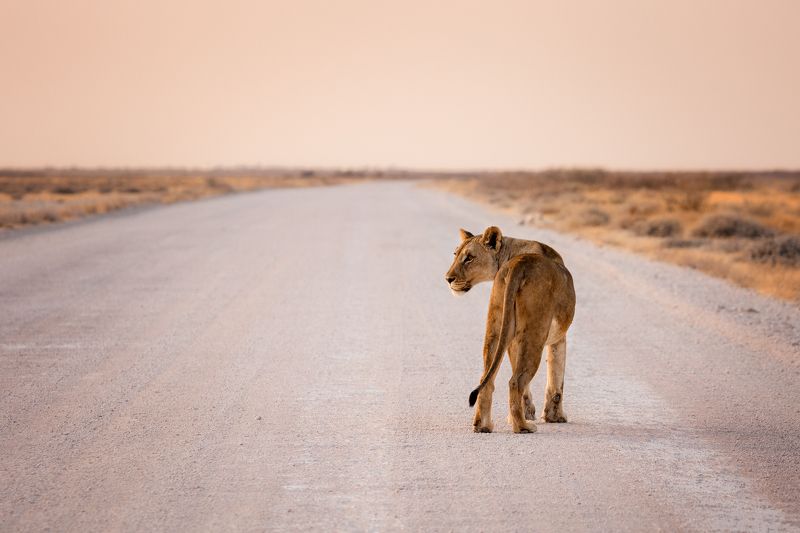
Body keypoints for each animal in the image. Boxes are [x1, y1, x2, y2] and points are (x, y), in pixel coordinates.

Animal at [445, 226, 576, 433]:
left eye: (469, 258)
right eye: (456, 255)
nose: (448, 279)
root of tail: (518, 265)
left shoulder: (511, 336)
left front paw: (527, 412)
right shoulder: (558, 337)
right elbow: (556, 377)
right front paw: (554, 417)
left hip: (495, 326)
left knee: (486, 380)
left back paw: (483, 425)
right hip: (534, 334)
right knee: (516, 381)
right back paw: (522, 426)